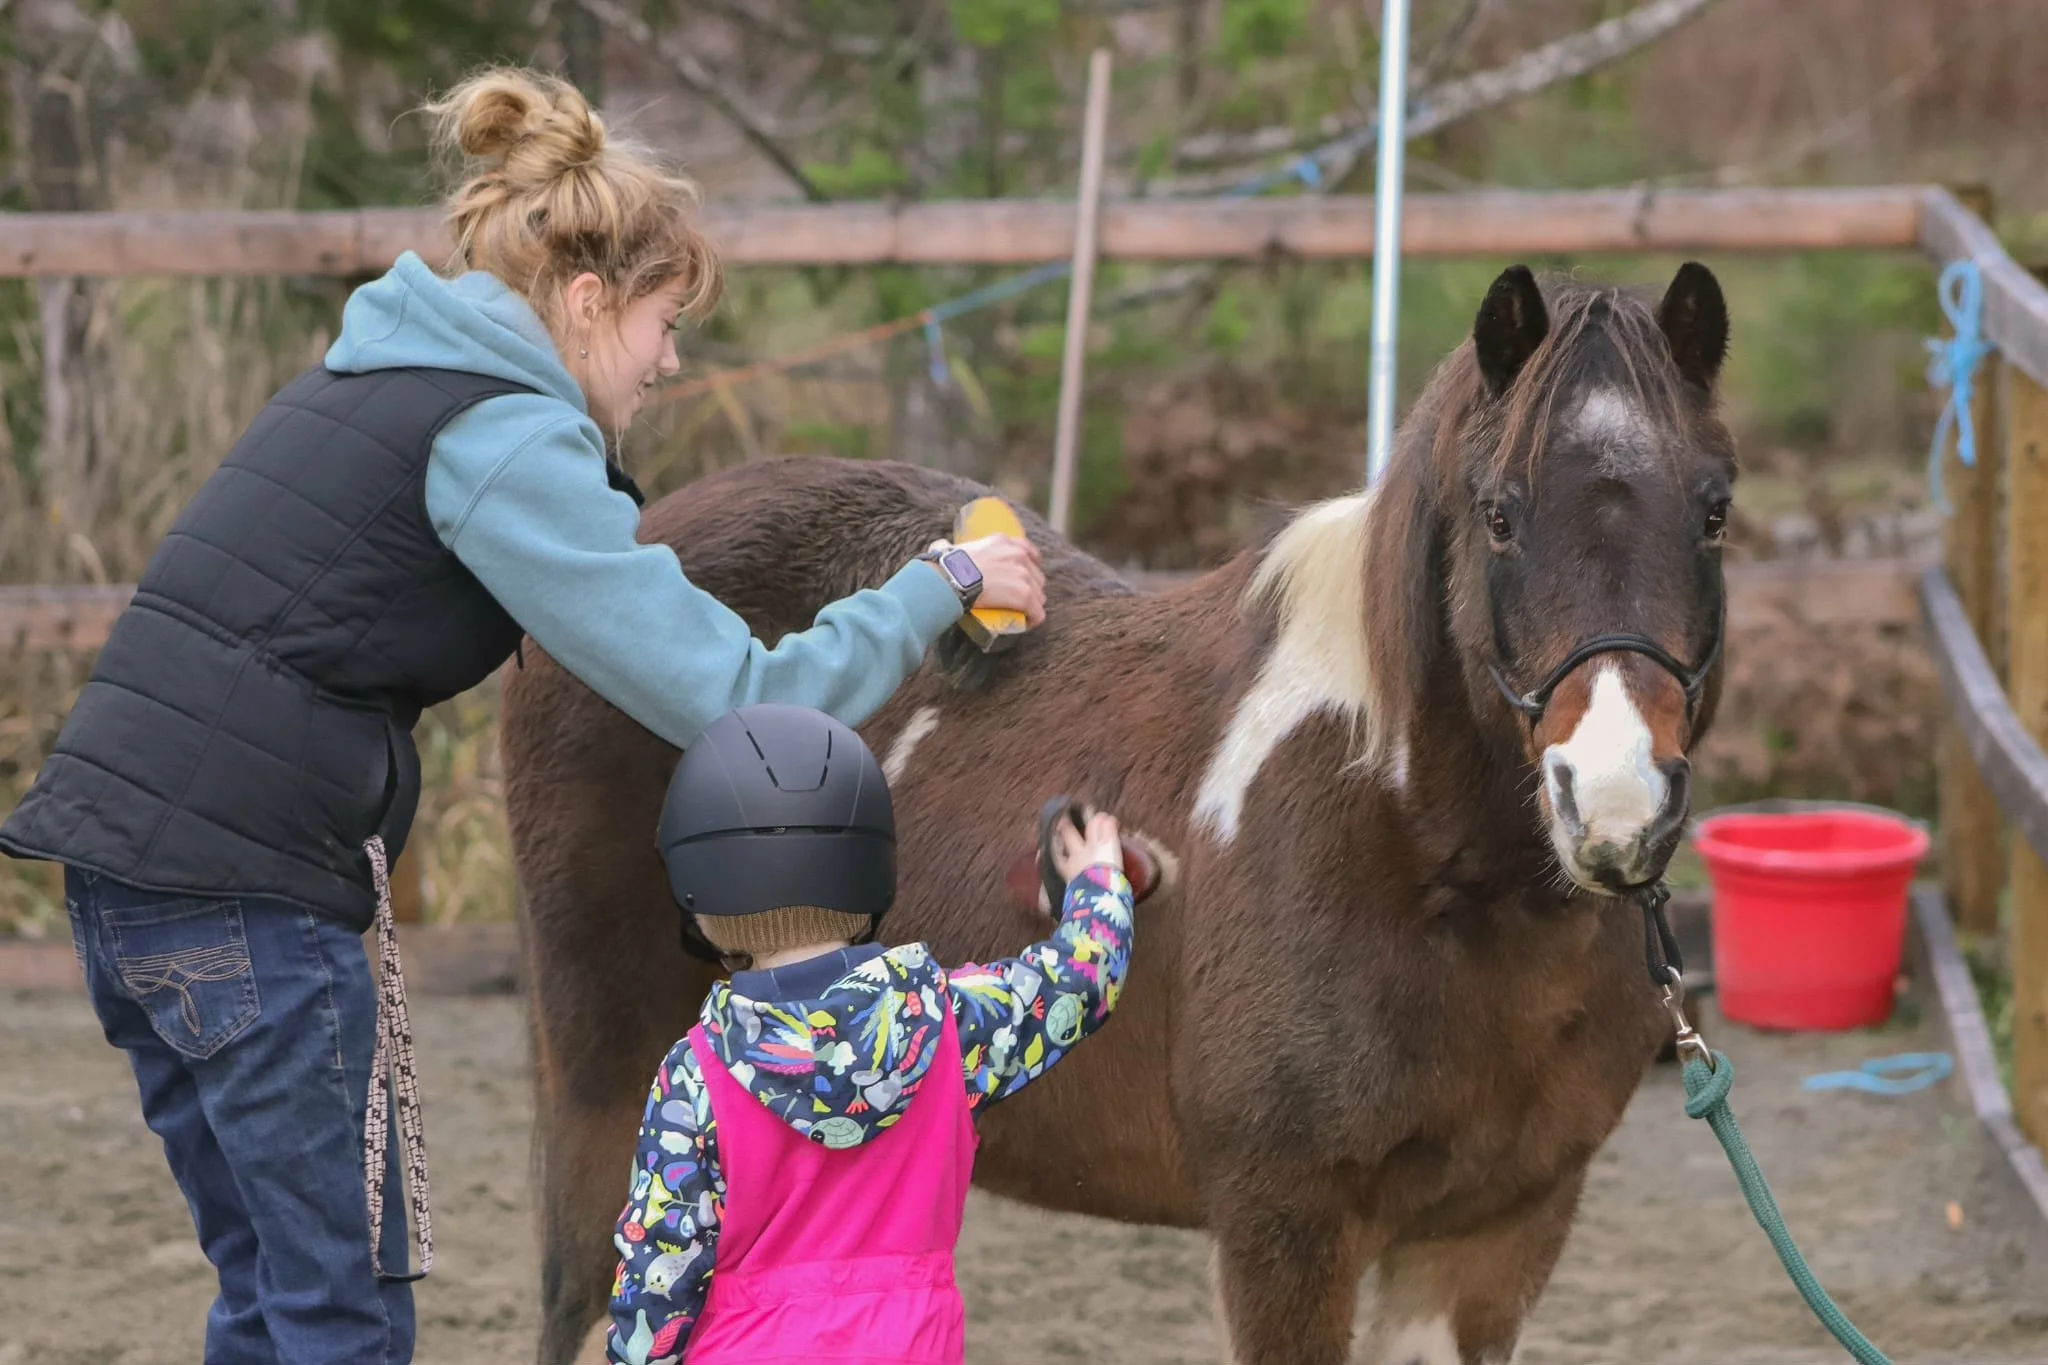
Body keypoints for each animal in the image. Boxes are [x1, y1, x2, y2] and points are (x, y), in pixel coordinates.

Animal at [498, 260, 1736, 1365]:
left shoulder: (1494, 1234)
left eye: (1715, 510)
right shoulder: (1285, 1228)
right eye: (1498, 516)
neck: (1403, 843)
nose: (1614, 795)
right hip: (611, 1095)